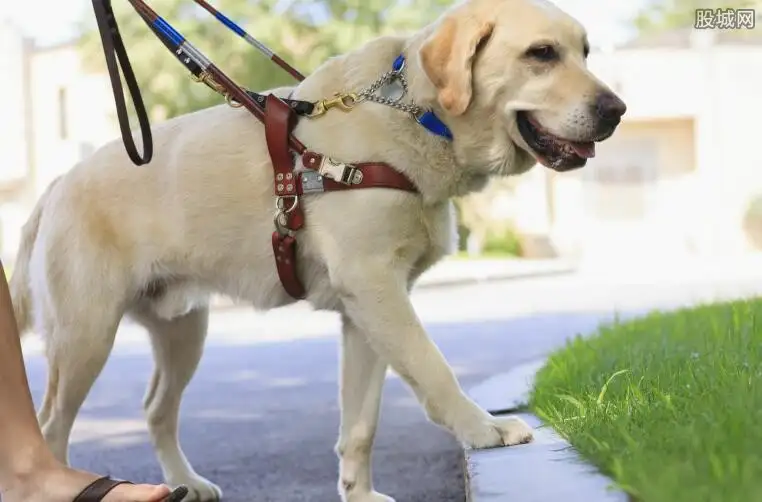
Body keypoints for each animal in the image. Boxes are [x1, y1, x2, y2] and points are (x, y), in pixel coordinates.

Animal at [8, 0, 624, 500]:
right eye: (541, 54)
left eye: (585, 51)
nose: (617, 110)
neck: (420, 116)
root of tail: (55, 186)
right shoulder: (375, 288)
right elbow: (434, 368)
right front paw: (484, 429)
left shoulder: (368, 311)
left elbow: (361, 422)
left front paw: (359, 494)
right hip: (85, 337)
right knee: (50, 426)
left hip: (184, 331)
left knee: (156, 409)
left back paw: (185, 482)